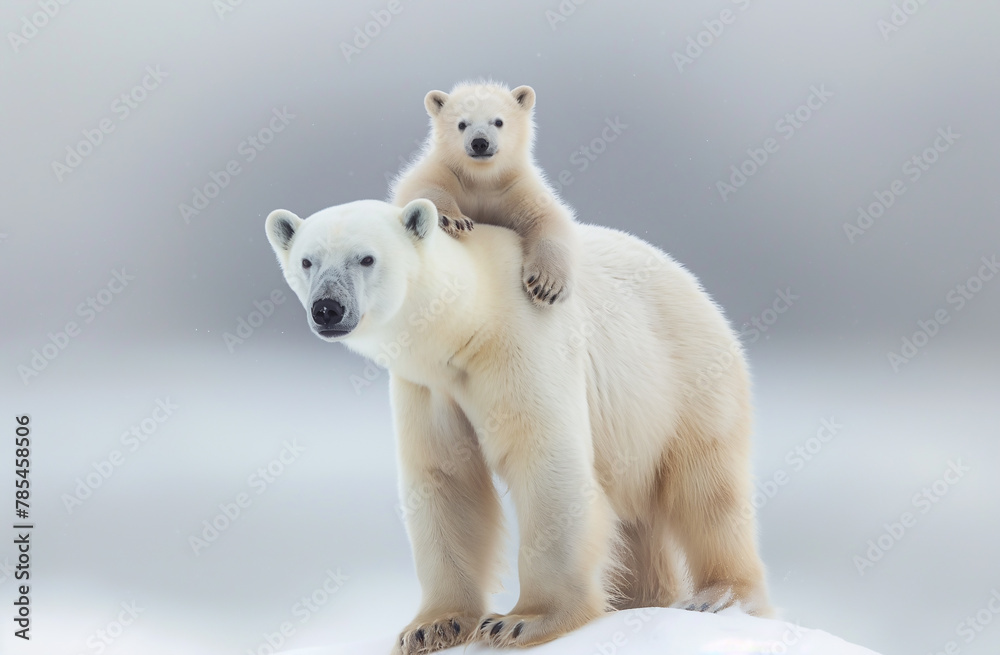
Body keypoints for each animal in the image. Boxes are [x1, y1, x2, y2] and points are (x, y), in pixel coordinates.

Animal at [264, 198, 772, 654]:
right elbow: (445, 479)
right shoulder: (428, 386)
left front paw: (522, 621)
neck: (468, 323)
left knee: (706, 488)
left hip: (685, 379)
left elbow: (546, 460)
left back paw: (719, 596)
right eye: (307, 260)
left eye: (366, 258)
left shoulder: (522, 342)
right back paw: (639, 600)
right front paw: (431, 627)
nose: (327, 308)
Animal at [390, 81, 578, 306]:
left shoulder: (513, 186)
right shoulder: (448, 171)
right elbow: (423, 188)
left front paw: (546, 285)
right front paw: (455, 220)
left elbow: (547, 219)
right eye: (462, 124)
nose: (479, 142)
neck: (481, 178)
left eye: (498, 121)